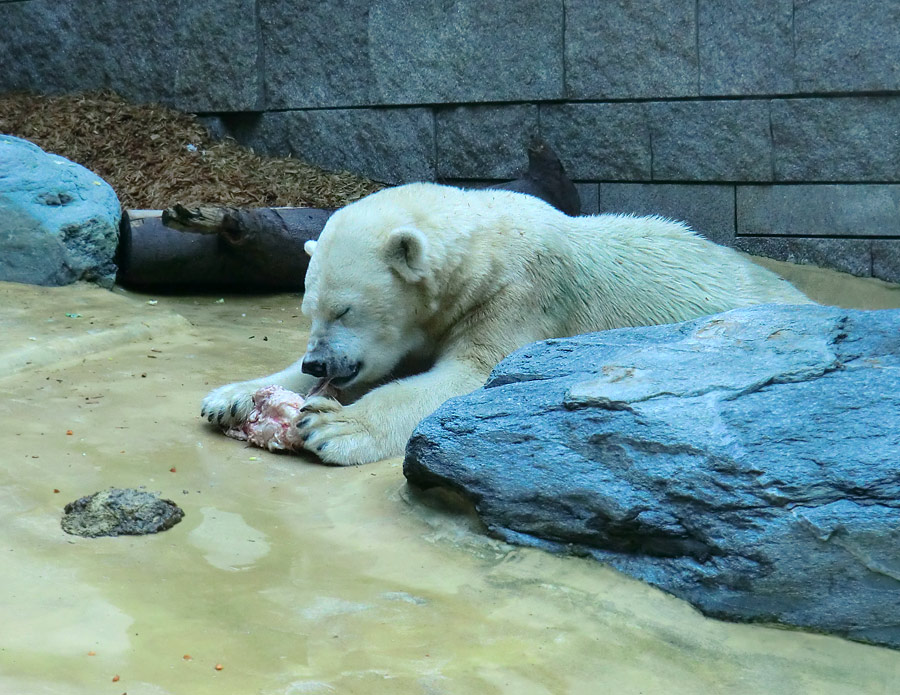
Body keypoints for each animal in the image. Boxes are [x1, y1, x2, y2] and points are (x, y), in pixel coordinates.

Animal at [202, 184, 808, 468]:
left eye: (346, 309)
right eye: (309, 310)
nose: (318, 361)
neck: (483, 256)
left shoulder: (521, 297)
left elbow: (472, 376)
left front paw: (332, 426)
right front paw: (231, 397)